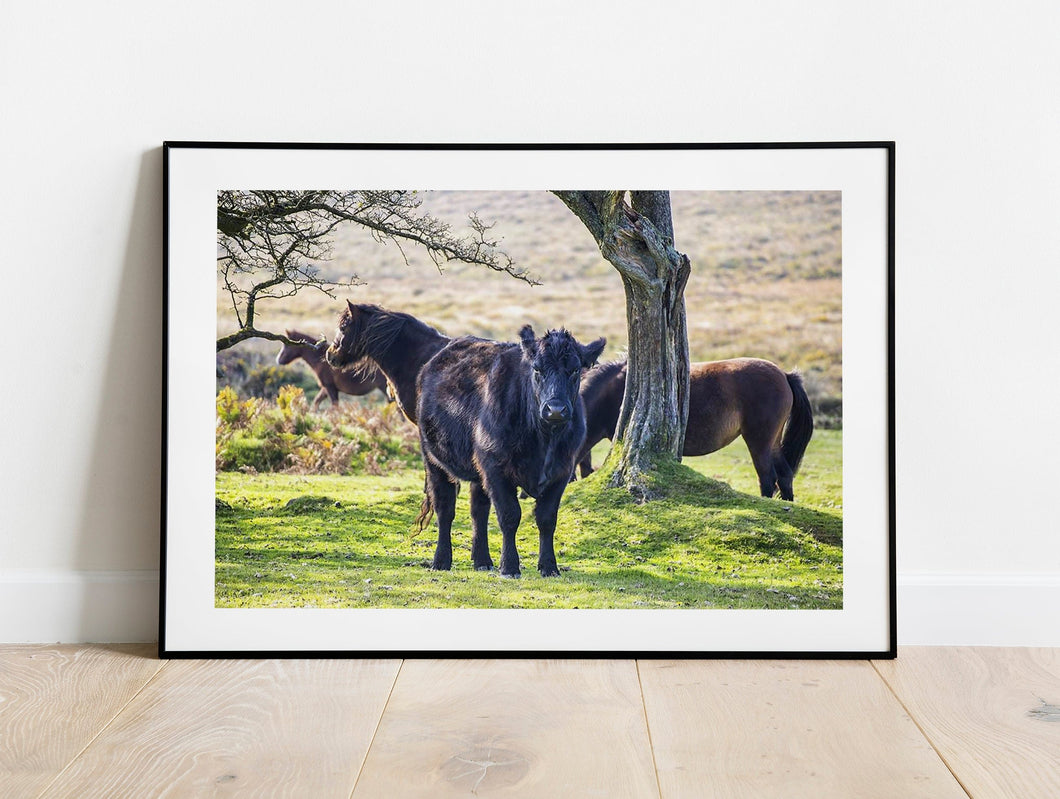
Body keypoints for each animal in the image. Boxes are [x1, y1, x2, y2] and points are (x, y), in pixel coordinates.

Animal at [415, 326, 605, 578]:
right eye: (537, 368)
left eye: (575, 369)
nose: (555, 409)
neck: (544, 440)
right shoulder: (496, 468)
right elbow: (509, 515)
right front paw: (509, 566)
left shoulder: (562, 471)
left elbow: (547, 518)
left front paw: (549, 566)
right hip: (434, 459)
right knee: (445, 509)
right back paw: (441, 561)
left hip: (478, 469)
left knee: (478, 511)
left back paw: (482, 561)